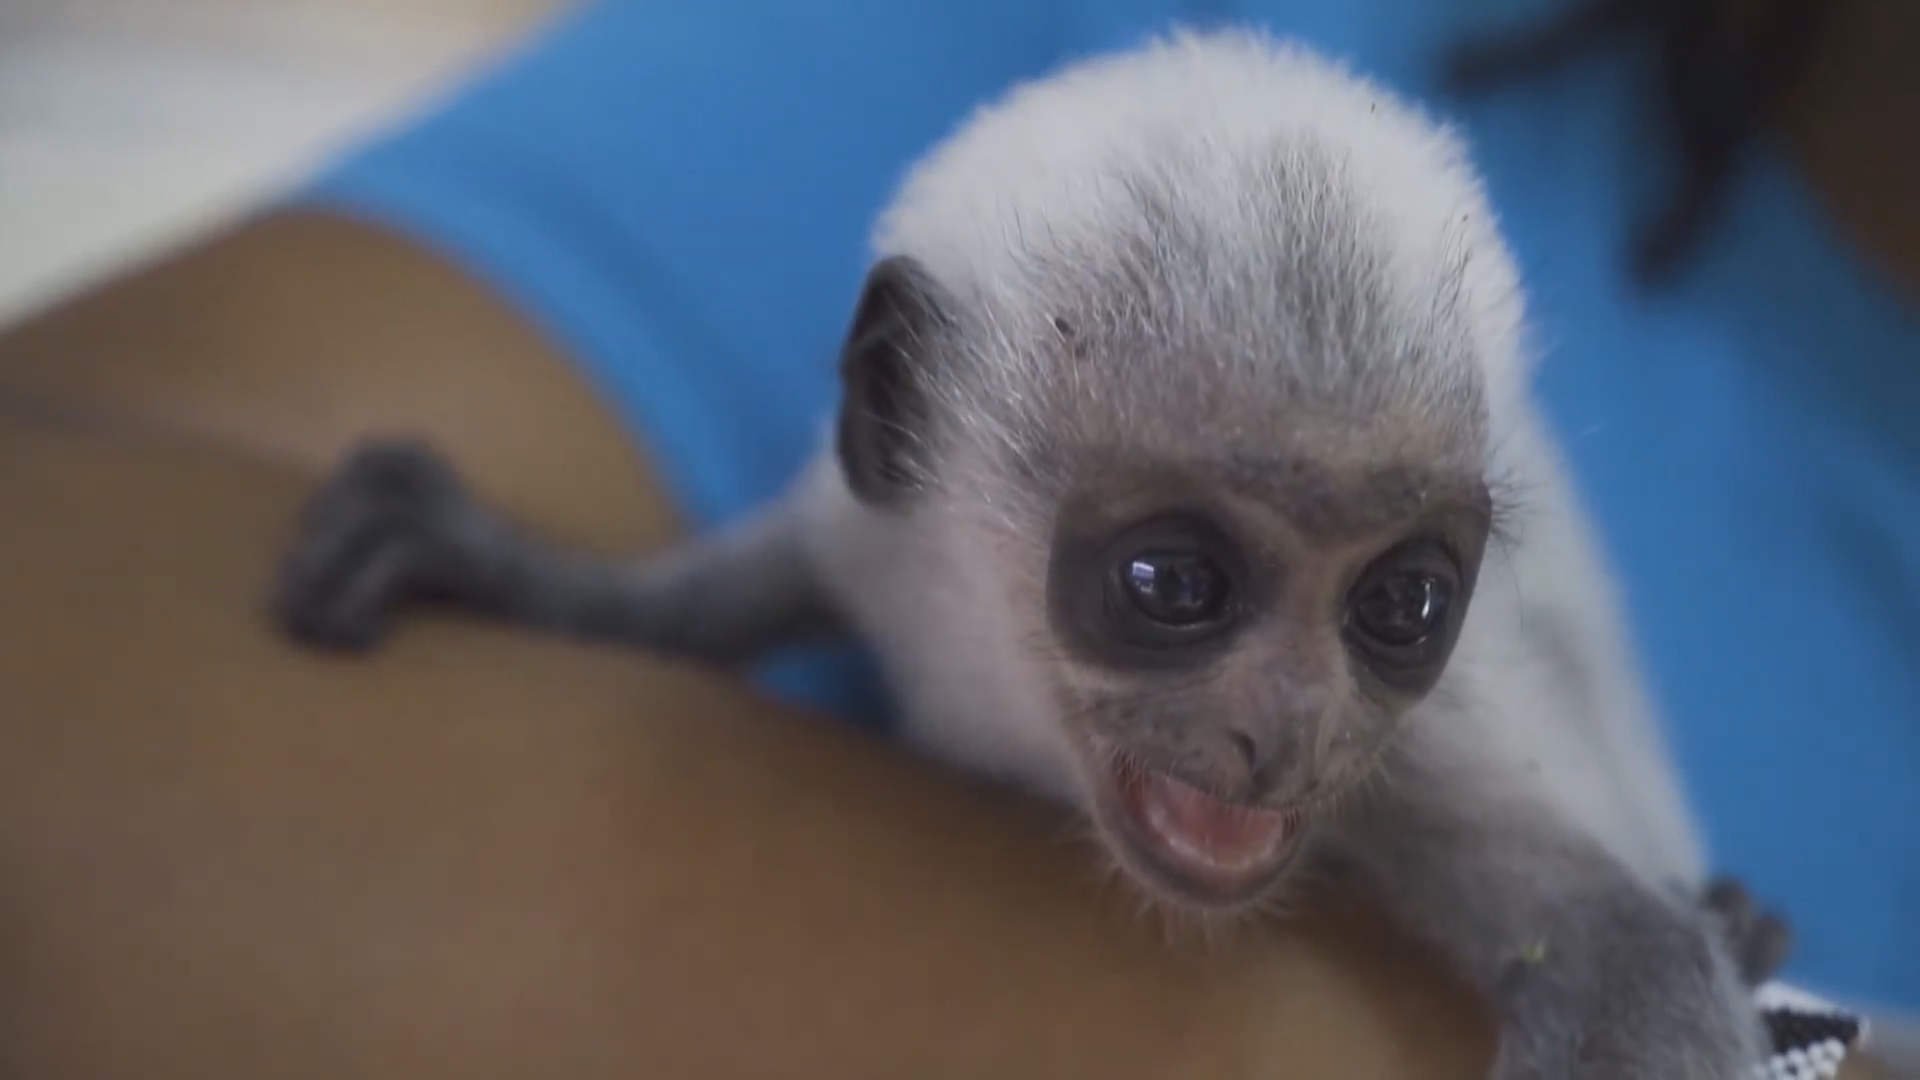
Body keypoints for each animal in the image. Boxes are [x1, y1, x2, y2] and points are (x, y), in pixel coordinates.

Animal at [274, 29, 1789, 1078]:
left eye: (1403, 603)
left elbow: (1628, 952)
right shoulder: (870, 541)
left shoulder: (1410, 760)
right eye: (1170, 585)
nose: (1289, 734)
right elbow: (709, 603)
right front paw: (497, 566)